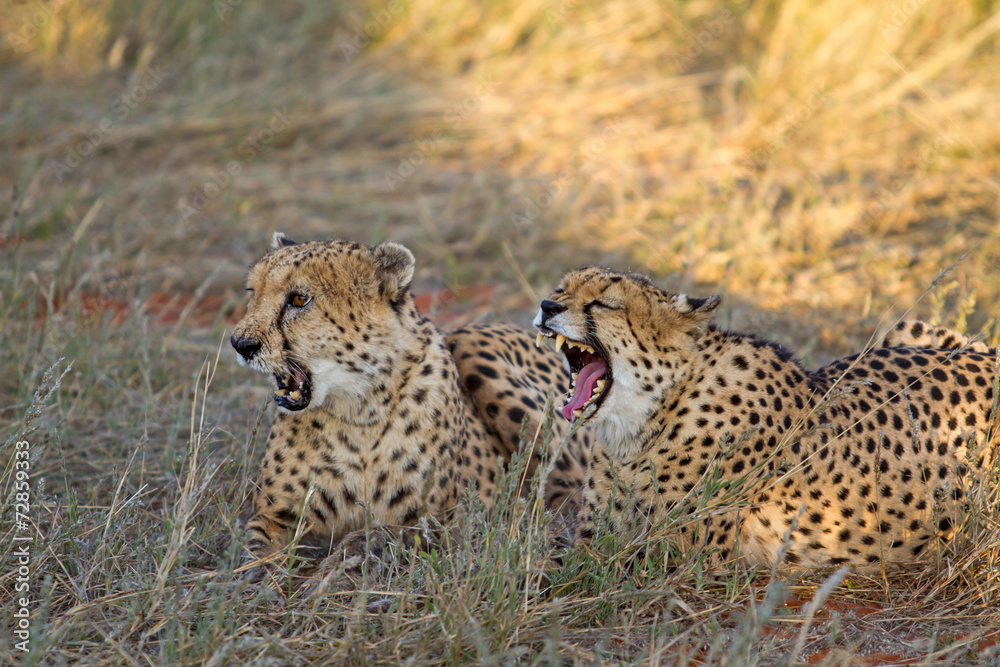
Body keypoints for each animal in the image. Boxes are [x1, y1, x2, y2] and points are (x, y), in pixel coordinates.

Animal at [230, 234, 589, 577]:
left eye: (299, 300)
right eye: (253, 293)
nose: (240, 344)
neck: (357, 410)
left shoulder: (442, 522)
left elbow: (377, 535)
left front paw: (333, 572)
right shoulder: (274, 514)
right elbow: (251, 549)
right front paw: (256, 580)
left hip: (472, 343)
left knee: (570, 494)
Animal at [533, 266, 998, 569]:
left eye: (603, 304)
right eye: (561, 287)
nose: (546, 304)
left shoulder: (674, 556)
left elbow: (569, 570)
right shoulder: (596, 531)